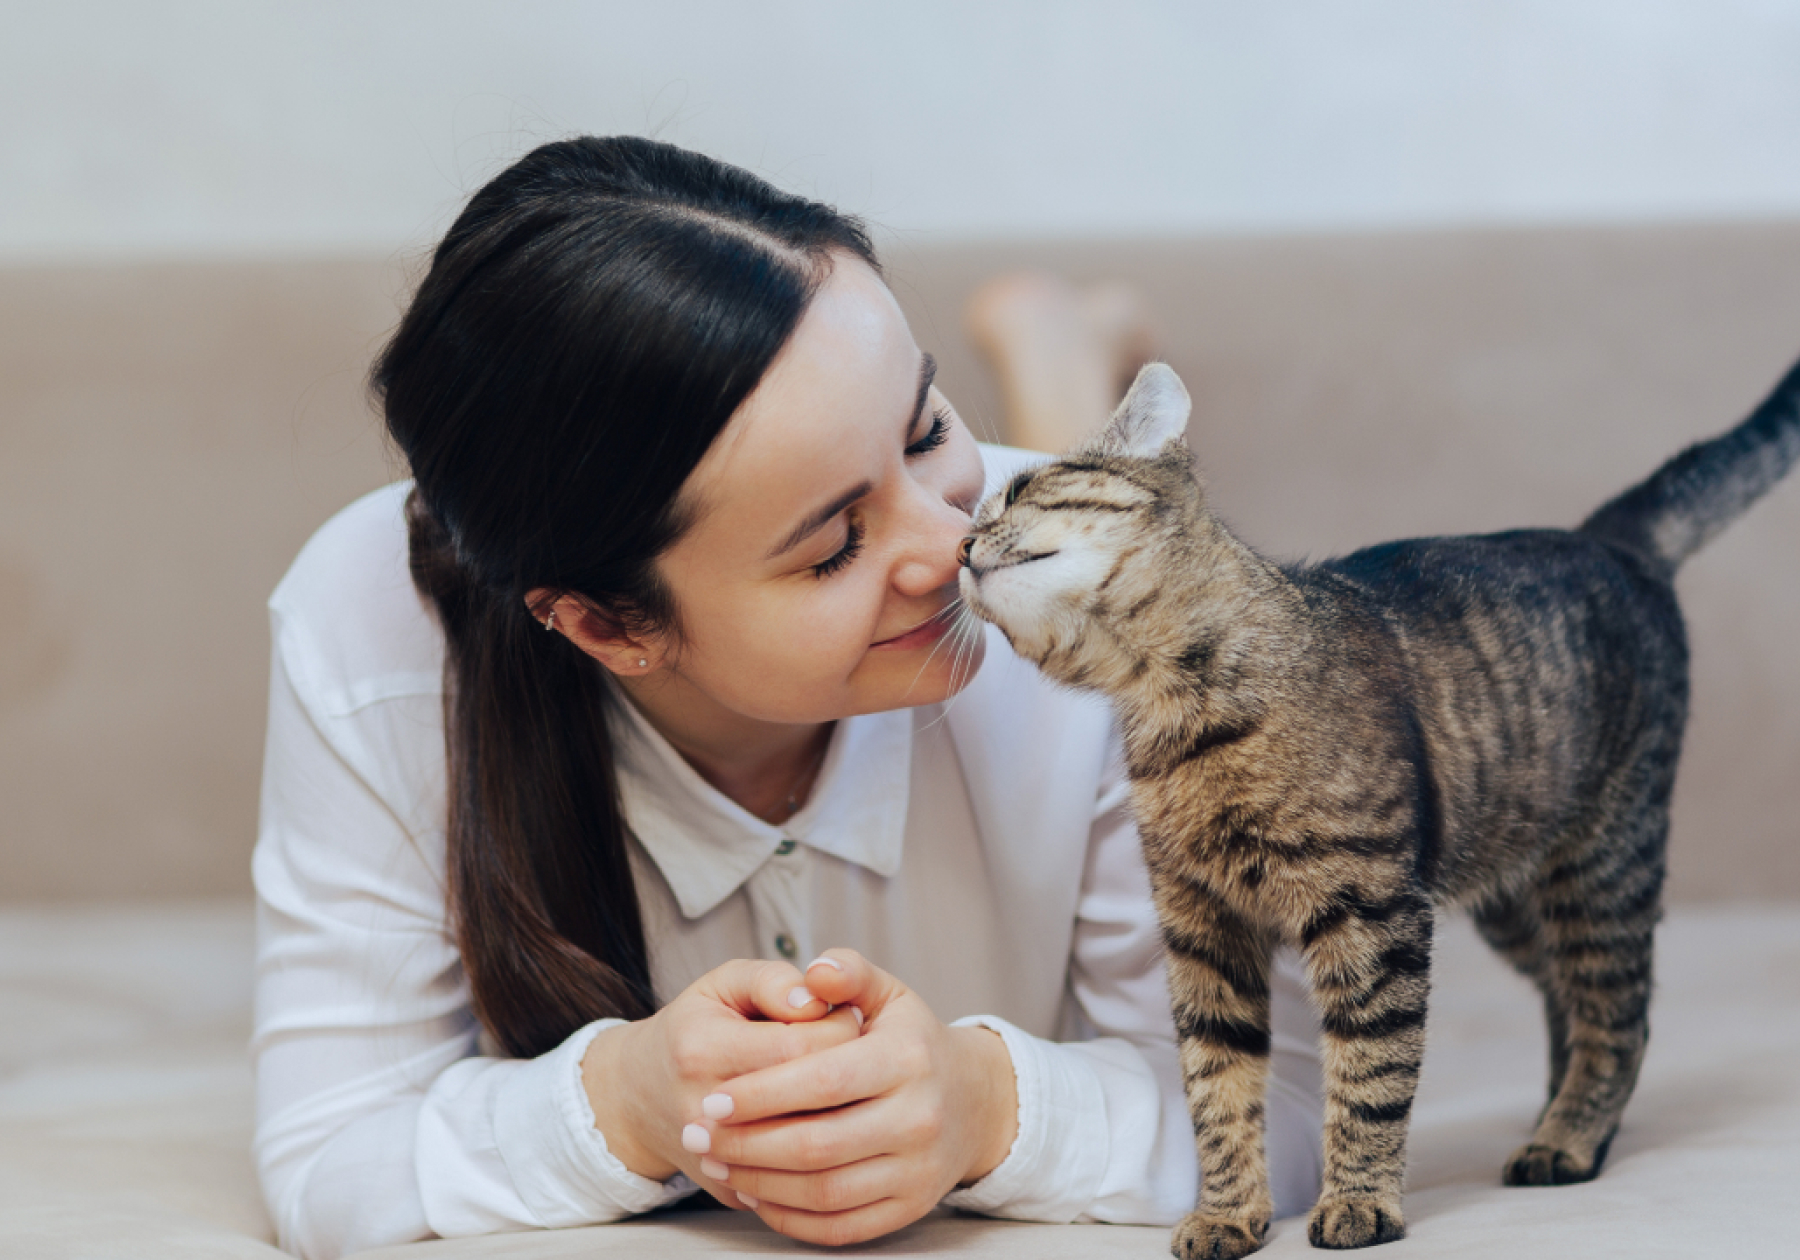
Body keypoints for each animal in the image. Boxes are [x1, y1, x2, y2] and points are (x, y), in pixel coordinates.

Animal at [957, 352, 1800, 1252]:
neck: (1175, 709)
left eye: (1018, 491)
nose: (961, 543)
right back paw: (1558, 1115)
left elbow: (1369, 1070)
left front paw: (1360, 1199)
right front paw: (1227, 1212)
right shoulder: (1203, 931)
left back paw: (1568, 1139)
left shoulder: (1370, 915)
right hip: (1510, 893)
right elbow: (1216, 1088)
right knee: (1566, 998)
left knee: (1621, 1013)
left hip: (1602, 864)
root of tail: (1606, 537)